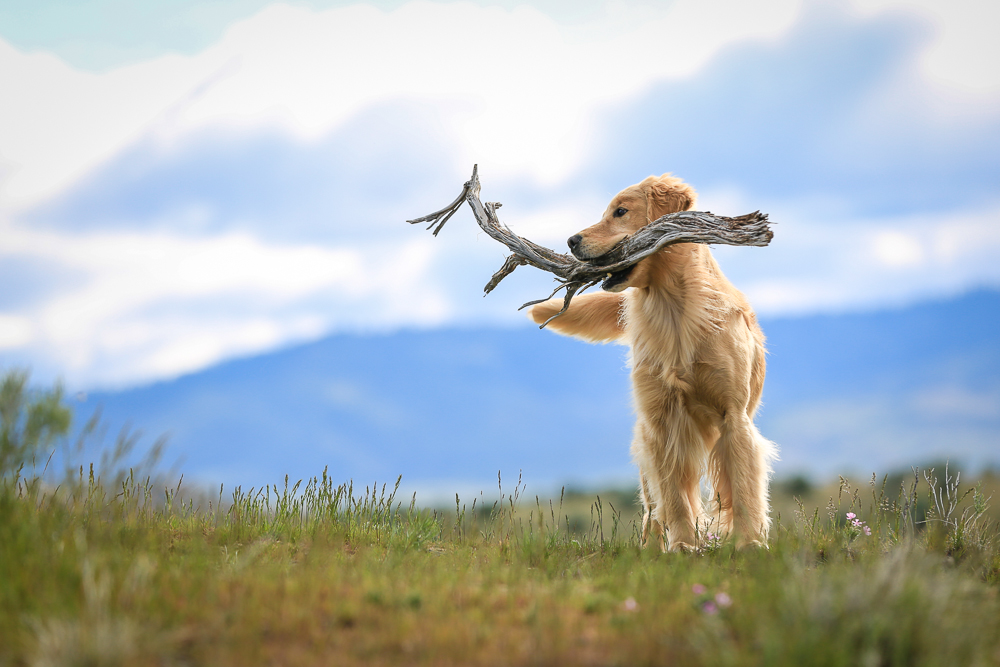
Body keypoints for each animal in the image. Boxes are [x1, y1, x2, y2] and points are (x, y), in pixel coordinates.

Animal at [528, 174, 776, 552]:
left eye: (620, 212)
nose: (571, 240)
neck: (675, 311)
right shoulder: (661, 420)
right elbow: (673, 496)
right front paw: (683, 546)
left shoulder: (734, 417)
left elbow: (745, 488)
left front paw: (749, 543)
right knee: (654, 504)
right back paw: (651, 548)